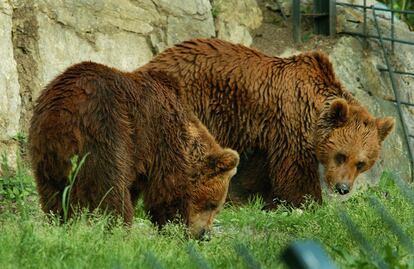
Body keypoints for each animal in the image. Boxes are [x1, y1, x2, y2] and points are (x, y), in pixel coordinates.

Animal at [28, 60, 239, 237]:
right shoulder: (161, 138)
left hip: (45, 153)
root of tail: (62, 113)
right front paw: (175, 228)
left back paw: (60, 224)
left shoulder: (141, 157)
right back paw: (118, 230)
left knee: (54, 195)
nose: (205, 235)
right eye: (212, 204)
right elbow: (168, 188)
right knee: (110, 192)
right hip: (107, 133)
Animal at [138, 36, 394, 206]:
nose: (343, 188)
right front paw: (309, 202)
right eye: (341, 155)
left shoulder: (268, 131)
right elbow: (296, 170)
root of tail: (154, 61)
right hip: (191, 100)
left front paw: (248, 196)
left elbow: (260, 168)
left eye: (361, 163)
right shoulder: (292, 123)